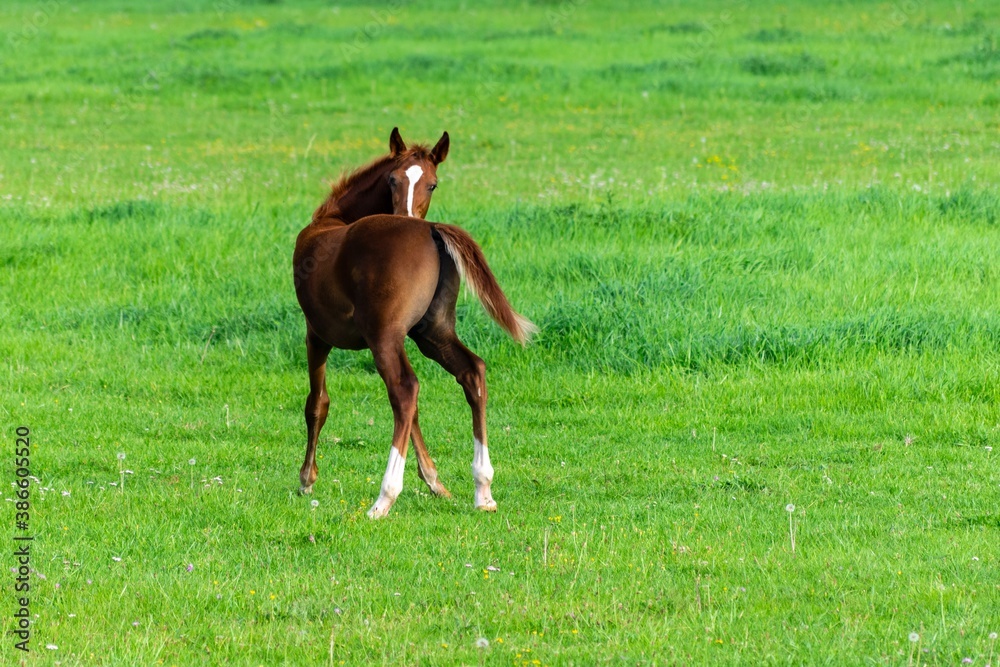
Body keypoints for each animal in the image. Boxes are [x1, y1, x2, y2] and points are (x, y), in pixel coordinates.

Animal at [293, 128, 536, 519]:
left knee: (405, 390)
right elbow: (419, 415)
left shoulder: (316, 334)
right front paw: (435, 481)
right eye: (392, 179)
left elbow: (317, 403)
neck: (333, 220)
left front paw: (306, 479)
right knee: (471, 373)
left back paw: (384, 498)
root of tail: (431, 230)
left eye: (433, 184)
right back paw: (483, 489)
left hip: (384, 337)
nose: (407, 214)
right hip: (434, 333)